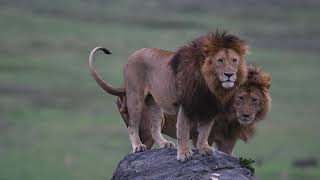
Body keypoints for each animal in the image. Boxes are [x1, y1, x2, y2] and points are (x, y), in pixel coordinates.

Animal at [89, 31, 249, 162]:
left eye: (234, 60)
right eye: (220, 60)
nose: (229, 75)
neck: (211, 85)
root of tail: (132, 55)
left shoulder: (209, 107)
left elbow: (205, 131)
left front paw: (204, 149)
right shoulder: (186, 106)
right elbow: (183, 131)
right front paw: (184, 154)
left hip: (155, 104)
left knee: (154, 127)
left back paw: (164, 143)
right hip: (135, 98)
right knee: (132, 126)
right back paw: (138, 146)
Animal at [116, 66, 272, 155]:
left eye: (254, 99)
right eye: (240, 97)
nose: (246, 115)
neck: (230, 115)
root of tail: (123, 88)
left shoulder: (229, 139)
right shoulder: (203, 133)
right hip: (146, 129)